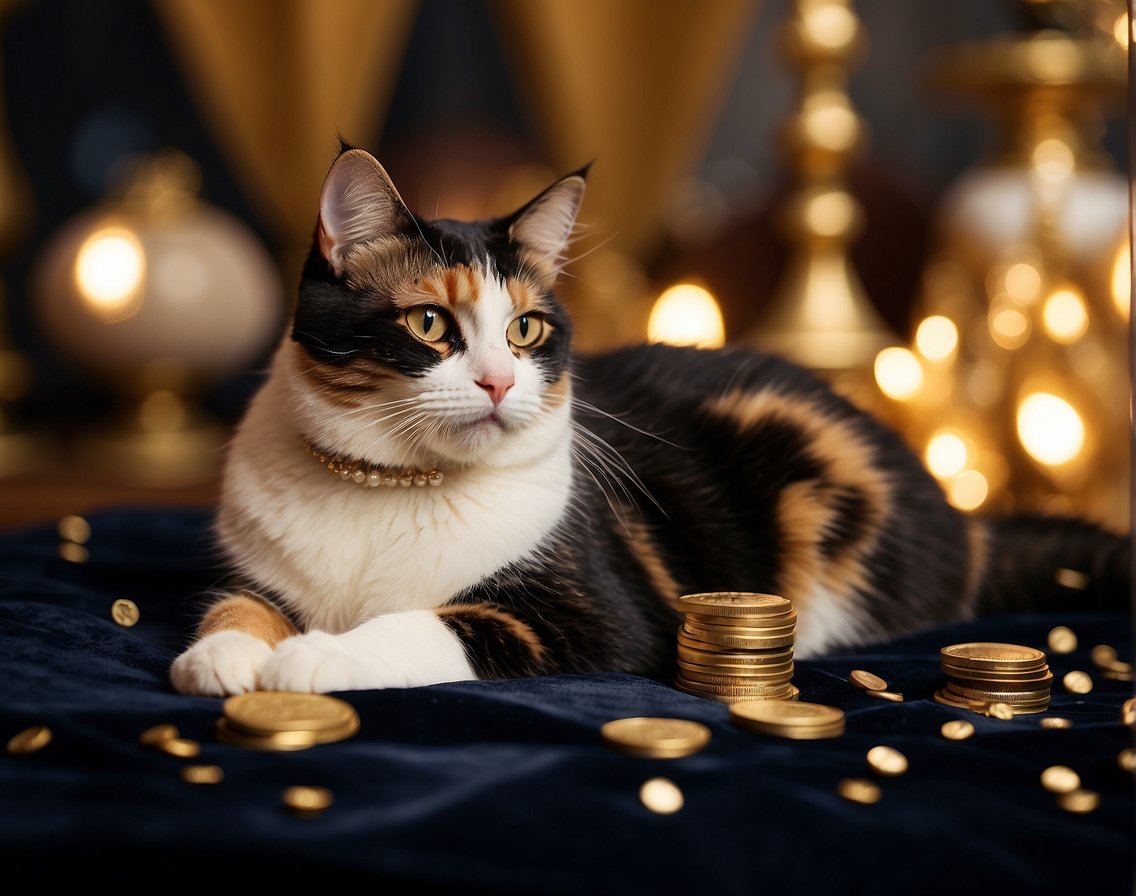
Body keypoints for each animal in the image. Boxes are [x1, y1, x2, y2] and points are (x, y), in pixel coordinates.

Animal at [165, 143, 1126, 694]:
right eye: (430, 323)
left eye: (525, 329)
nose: (498, 383)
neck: (389, 484)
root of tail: (967, 520)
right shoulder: (256, 565)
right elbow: (238, 603)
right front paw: (224, 654)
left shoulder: (599, 613)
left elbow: (437, 623)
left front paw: (317, 658)